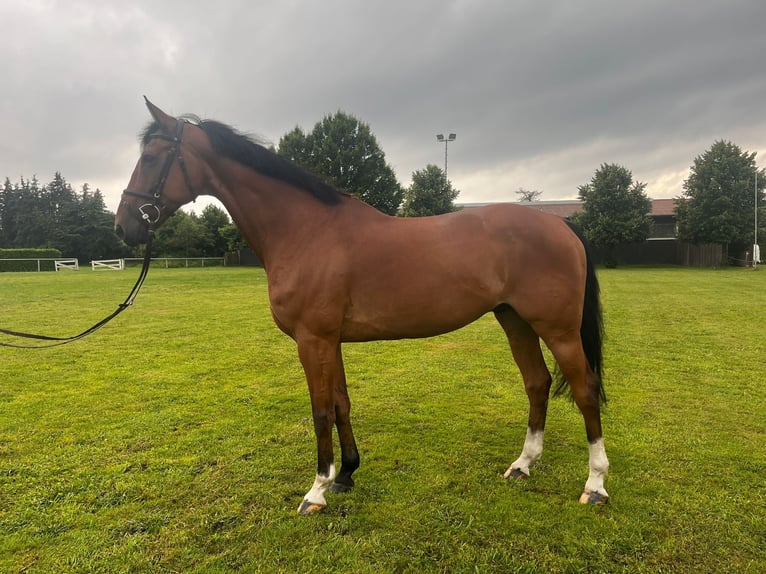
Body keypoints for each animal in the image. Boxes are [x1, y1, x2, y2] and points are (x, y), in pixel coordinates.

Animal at [114, 100, 608, 516]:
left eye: (153, 157)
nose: (122, 227)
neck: (307, 230)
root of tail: (562, 226)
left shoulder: (312, 340)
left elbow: (319, 411)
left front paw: (315, 492)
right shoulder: (330, 340)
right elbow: (341, 404)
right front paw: (346, 474)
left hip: (558, 329)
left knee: (584, 390)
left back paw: (595, 485)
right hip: (515, 320)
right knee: (537, 383)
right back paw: (522, 465)